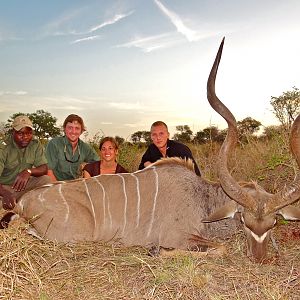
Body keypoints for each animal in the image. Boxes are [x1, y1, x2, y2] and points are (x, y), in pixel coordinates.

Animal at [11, 39, 300, 260]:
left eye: (273, 222)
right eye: (243, 220)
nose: (259, 258)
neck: (203, 199)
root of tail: (23, 202)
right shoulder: (179, 236)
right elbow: (220, 248)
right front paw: (156, 251)